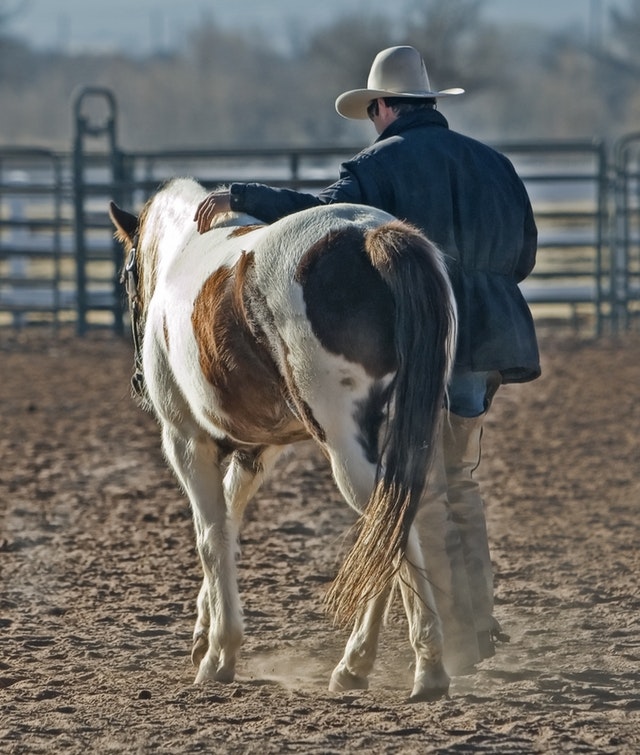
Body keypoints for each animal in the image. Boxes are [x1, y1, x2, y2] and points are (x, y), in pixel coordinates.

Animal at [109, 177, 457, 701]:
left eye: (127, 278)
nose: (135, 381)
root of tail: (370, 236)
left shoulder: (186, 442)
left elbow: (211, 538)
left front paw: (219, 655)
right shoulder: (257, 450)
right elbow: (229, 524)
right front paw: (204, 632)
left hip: (344, 445)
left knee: (388, 525)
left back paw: (424, 667)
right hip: (402, 436)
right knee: (390, 522)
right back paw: (357, 666)